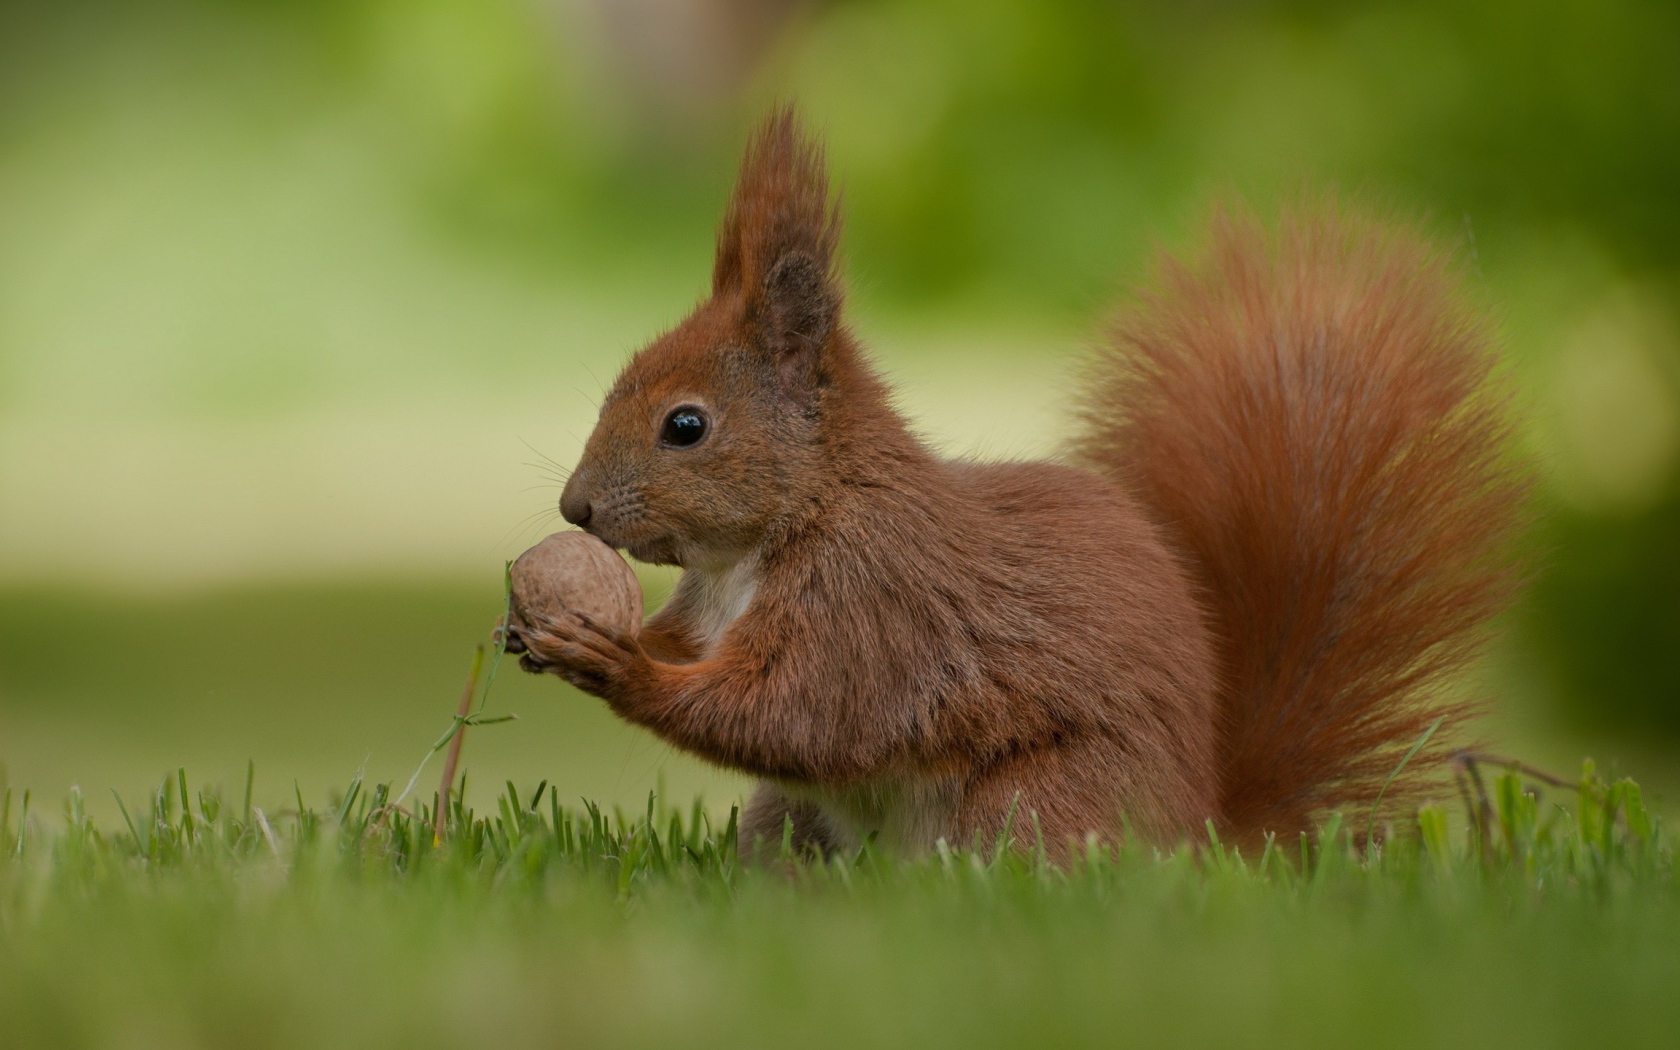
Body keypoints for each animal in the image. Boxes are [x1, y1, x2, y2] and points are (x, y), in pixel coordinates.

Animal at [503, 106, 1532, 860]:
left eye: (687, 426)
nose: (574, 508)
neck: (762, 544)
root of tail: (1202, 833)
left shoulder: (877, 605)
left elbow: (798, 715)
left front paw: (618, 665)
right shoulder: (716, 609)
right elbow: (703, 660)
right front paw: (546, 628)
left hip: (1030, 805)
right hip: (790, 821)